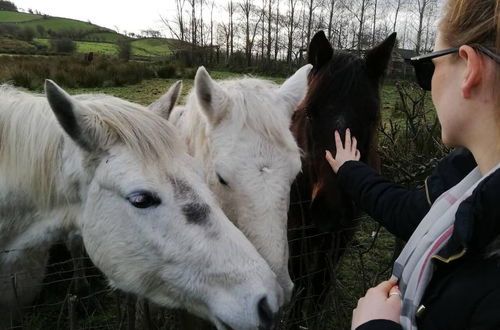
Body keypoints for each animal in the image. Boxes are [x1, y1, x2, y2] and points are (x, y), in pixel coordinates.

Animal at [288, 31, 396, 328]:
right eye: (310, 112)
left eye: (372, 117)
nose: (332, 210)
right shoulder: (297, 229)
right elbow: (301, 281)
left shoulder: (340, 237)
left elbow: (320, 284)